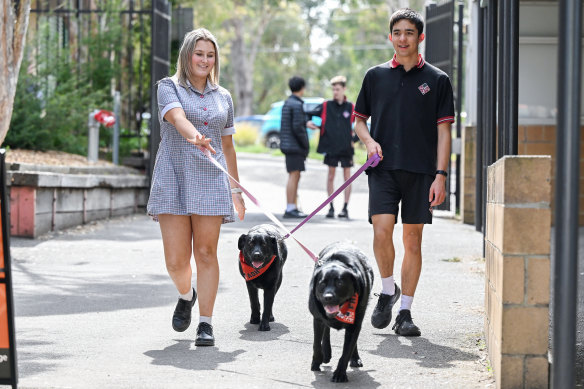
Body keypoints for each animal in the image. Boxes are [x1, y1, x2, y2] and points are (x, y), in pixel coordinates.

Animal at [310, 242, 374, 382]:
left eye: (340, 283)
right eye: (322, 283)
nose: (328, 297)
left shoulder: (355, 324)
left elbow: (347, 350)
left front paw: (340, 373)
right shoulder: (317, 318)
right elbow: (316, 343)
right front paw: (316, 362)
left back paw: (355, 358)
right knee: (326, 331)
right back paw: (326, 353)